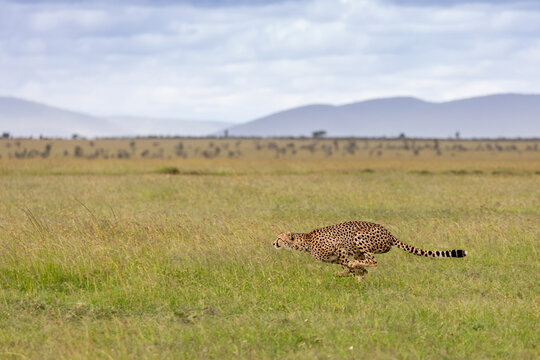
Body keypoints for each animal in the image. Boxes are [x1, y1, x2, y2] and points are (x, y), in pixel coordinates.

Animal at [274, 219, 468, 282]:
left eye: (279, 238)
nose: (273, 243)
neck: (305, 241)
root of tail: (389, 233)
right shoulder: (336, 258)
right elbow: (348, 268)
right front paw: (353, 274)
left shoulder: (340, 249)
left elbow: (350, 266)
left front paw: (356, 273)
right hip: (359, 248)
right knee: (366, 260)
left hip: (359, 238)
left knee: (373, 260)